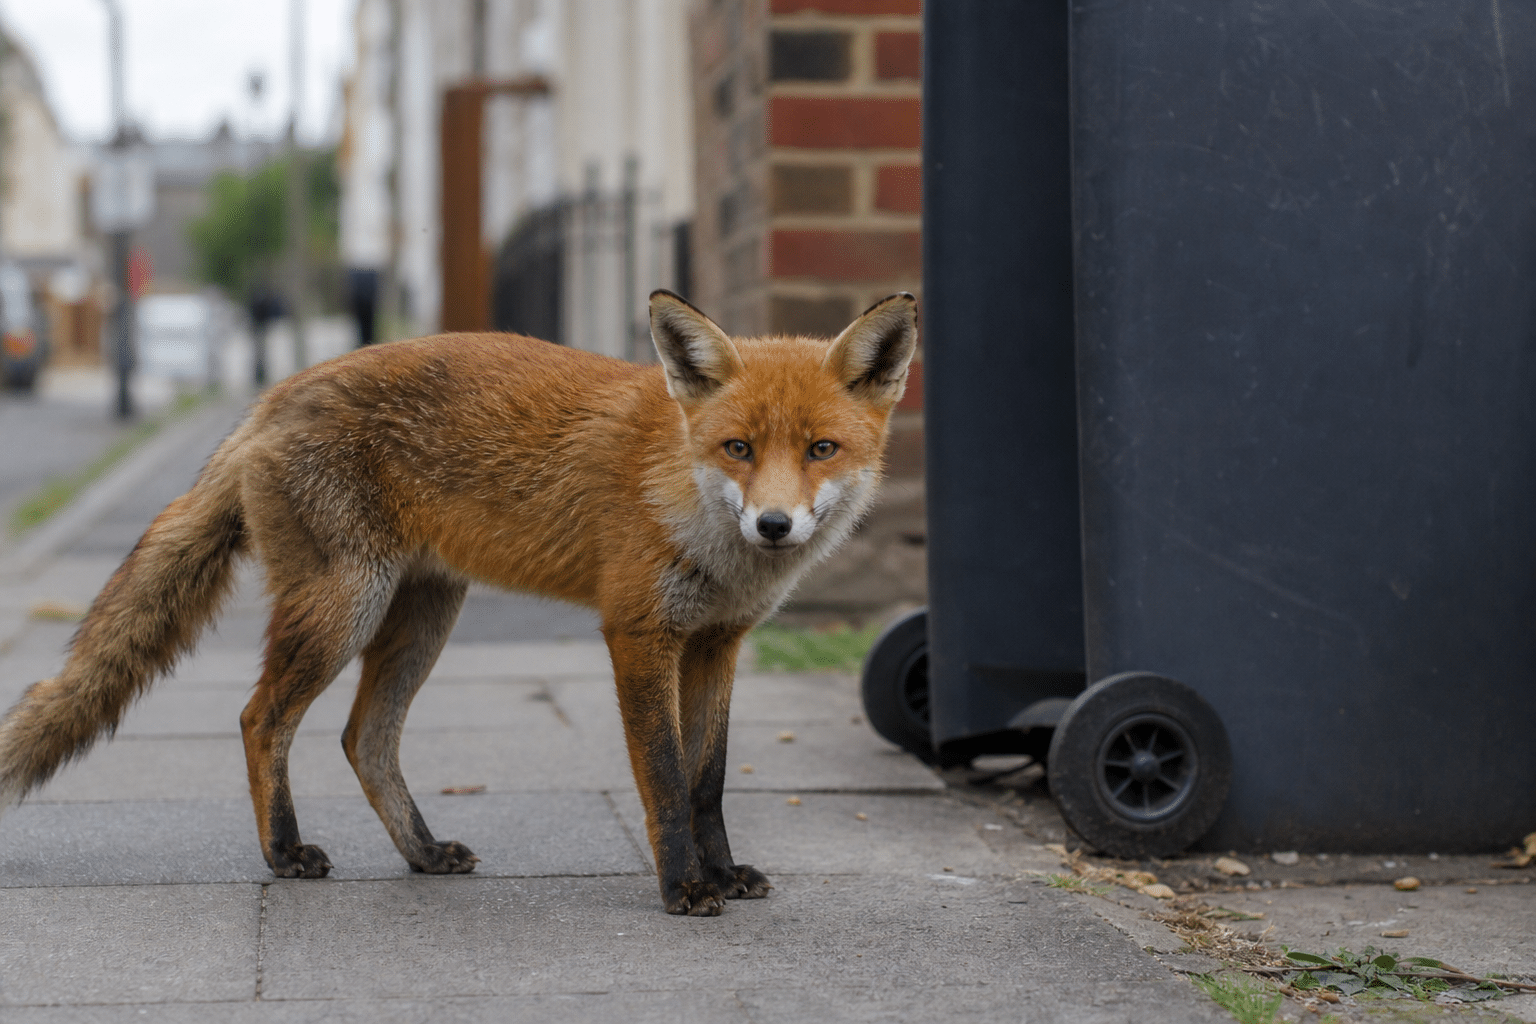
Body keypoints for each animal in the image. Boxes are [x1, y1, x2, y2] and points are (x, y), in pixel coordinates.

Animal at [0, 290, 917, 916]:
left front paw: (721, 872)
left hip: (424, 618)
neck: (688, 502)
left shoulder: (718, 642)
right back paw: (284, 853)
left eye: (821, 450)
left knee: (364, 739)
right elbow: (663, 777)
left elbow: (708, 780)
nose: (774, 525)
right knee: (263, 719)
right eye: (739, 448)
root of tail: (276, 393)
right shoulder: (638, 635)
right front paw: (684, 889)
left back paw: (423, 852)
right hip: (346, 608)